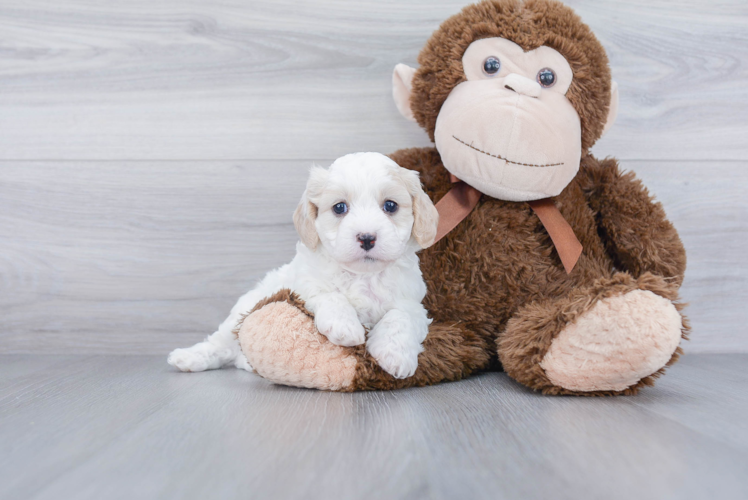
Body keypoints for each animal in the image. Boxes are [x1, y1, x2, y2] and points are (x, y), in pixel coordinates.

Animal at [168, 152, 438, 378]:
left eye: (390, 206)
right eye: (340, 207)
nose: (367, 237)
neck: (362, 275)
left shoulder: (412, 303)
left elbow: (401, 316)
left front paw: (395, 355)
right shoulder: (303, 286)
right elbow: (329, 294)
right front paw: (346, 327)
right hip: (241, 312)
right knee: (221, 343)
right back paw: (188, 357)